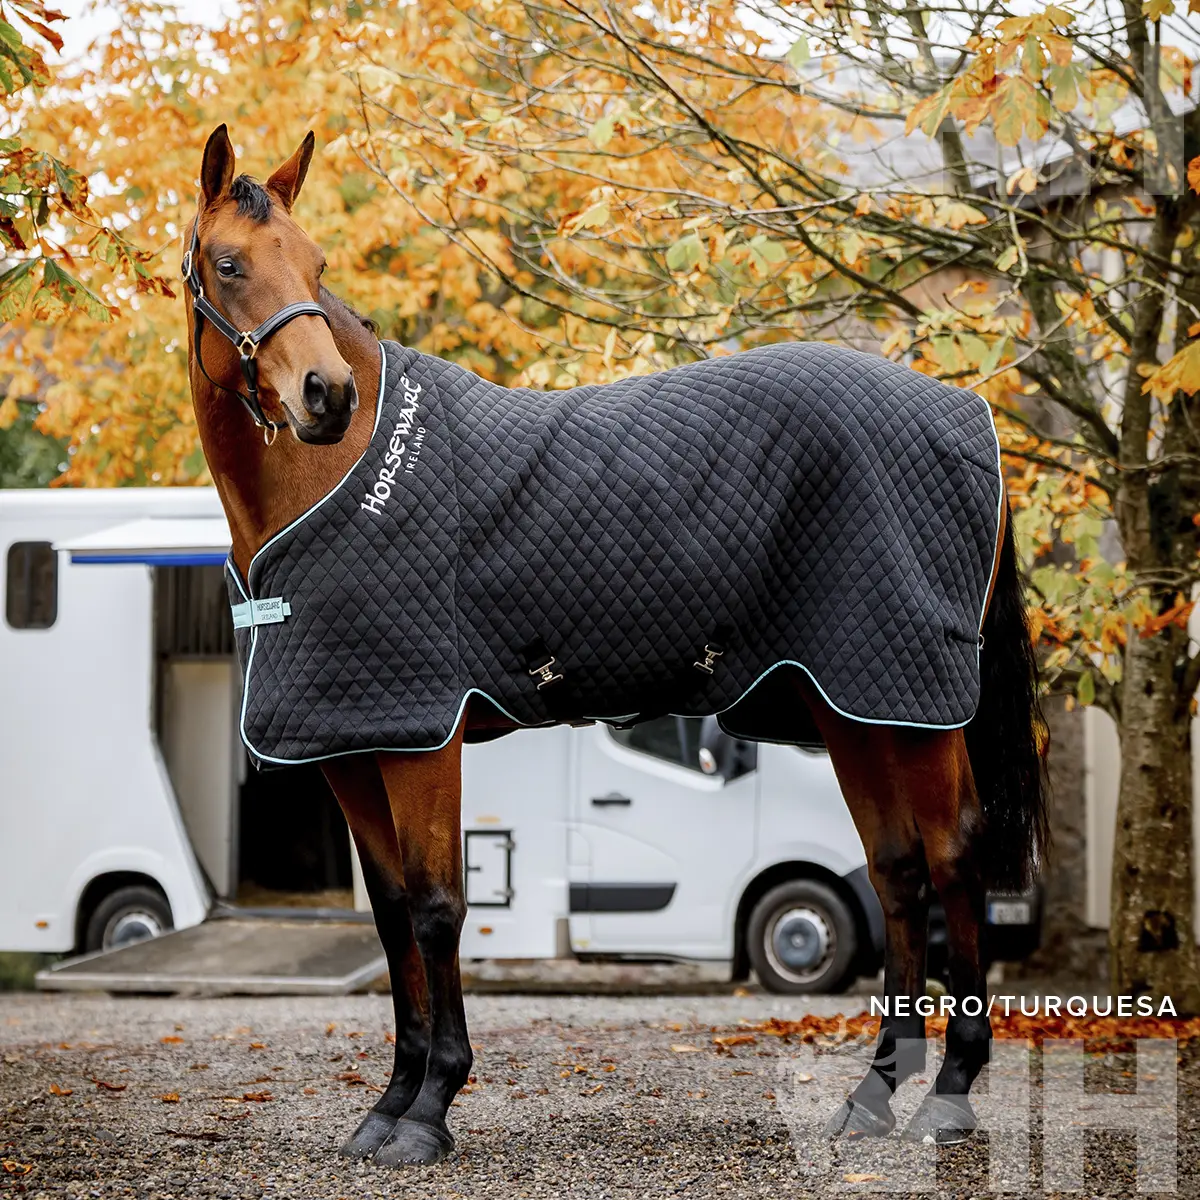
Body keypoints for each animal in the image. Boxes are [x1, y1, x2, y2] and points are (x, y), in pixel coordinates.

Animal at [184, 125, 1047, 1167]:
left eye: (315, 264)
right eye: (231, 265)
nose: (328, 394)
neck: (334, 484)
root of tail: (967, 418)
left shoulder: (423, 740)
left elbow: (437, 908)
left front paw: (431, 1107)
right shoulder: (354, 744)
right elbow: (391, 918)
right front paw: (387, 1105)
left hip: (914, 707)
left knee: (954, 857)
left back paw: (952, 1091)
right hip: (857, 706)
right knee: (898, 869)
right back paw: (874, 1094)